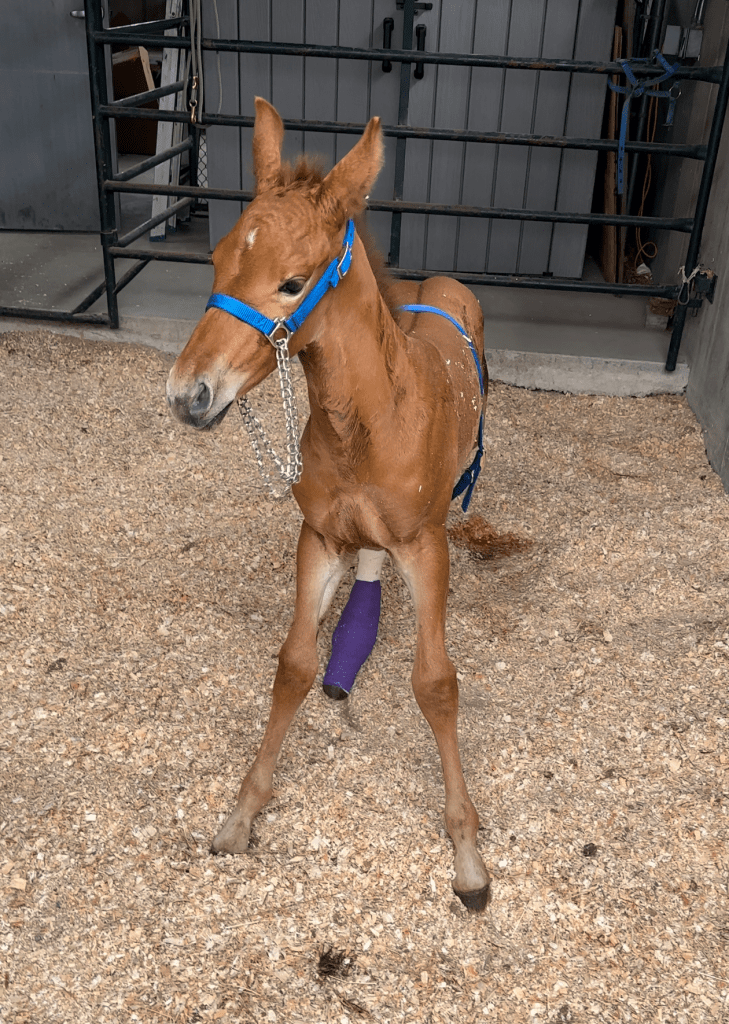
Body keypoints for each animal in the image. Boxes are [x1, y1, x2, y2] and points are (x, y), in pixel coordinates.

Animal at [166, 97, 492, 911]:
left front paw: (468, 855)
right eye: (217, 259)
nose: (188, 395)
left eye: (291, 282)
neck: (367, 425)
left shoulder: (425, 546)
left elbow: (435, 683)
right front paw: (242, 812)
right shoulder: (316, 536)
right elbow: (292, 665)